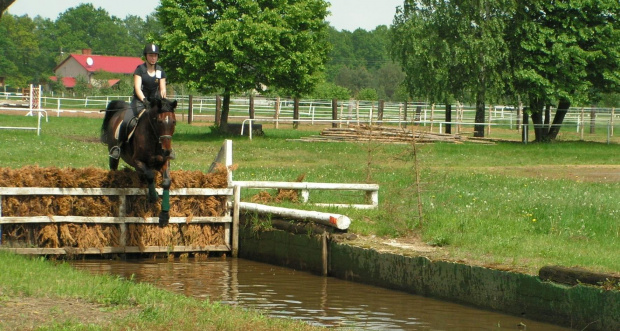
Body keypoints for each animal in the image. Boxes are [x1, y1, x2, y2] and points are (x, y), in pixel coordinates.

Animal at [99, 98, 177, 227]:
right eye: (159, 121)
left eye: (174, 122)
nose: (167, 151)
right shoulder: (137, 161)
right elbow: (150, 175)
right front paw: (153, 196)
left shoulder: (163, 162)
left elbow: (166, 182)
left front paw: (164, 216)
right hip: (114, 154)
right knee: (114, 168)